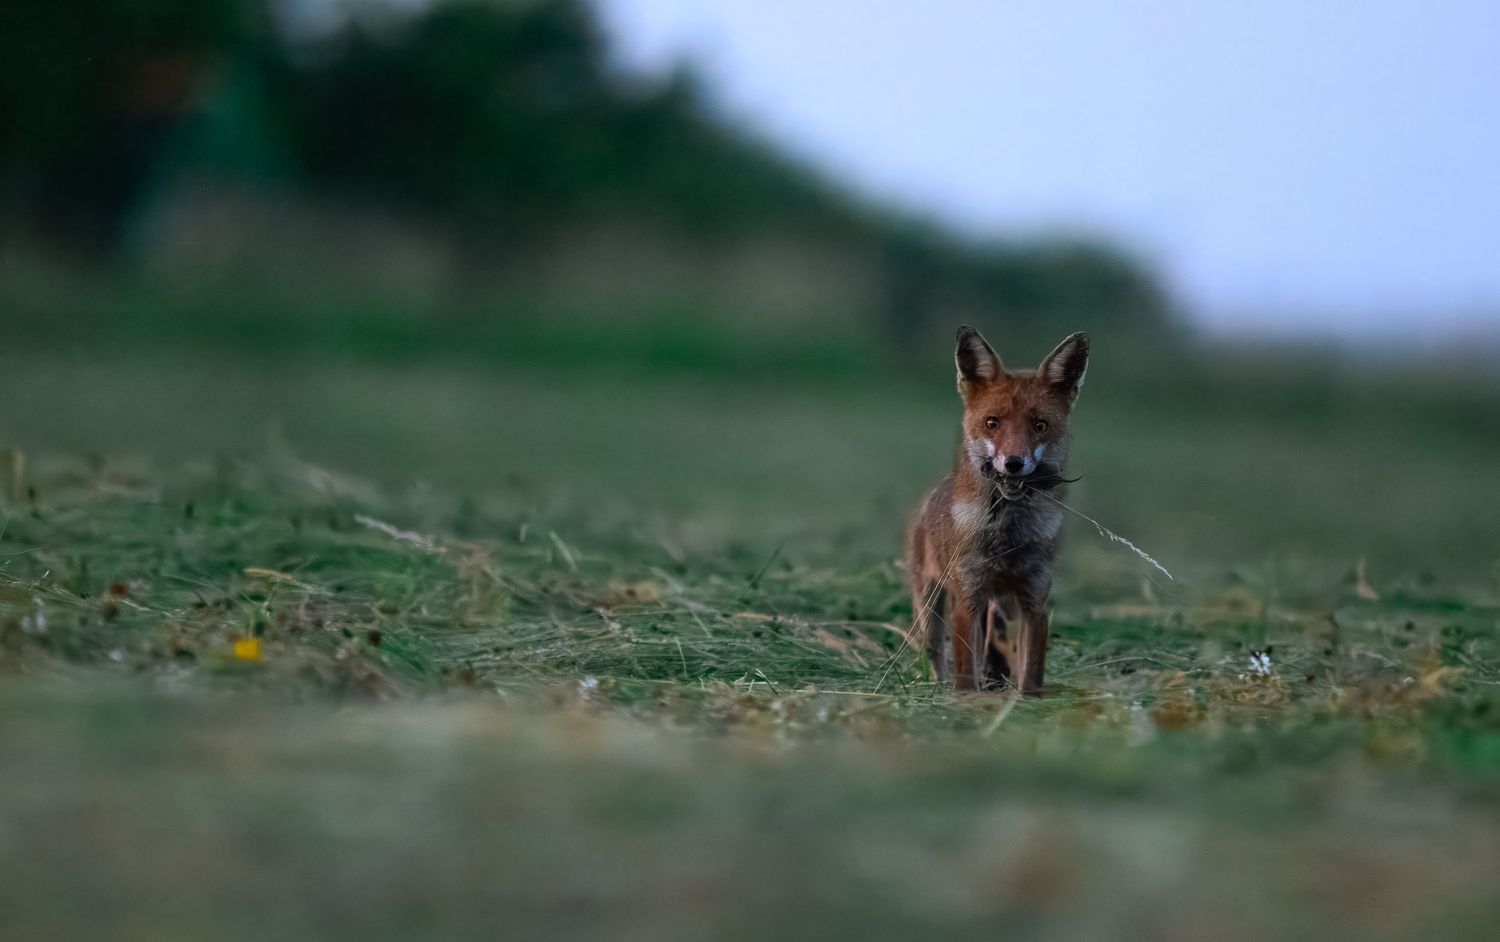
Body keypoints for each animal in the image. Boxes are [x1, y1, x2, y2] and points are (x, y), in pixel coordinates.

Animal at [906, 325, 1090, 695]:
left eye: (1039, 425)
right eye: (993, 423)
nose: (1014, 463)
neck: (1008, 536)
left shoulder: (1035, 600)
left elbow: (1031, 670)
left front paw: (1027, 699)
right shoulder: (968, 595)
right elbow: (965, 671)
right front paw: (964, 698)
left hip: (999, 605)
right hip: (931, 605)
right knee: (935, 651)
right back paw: (940, 684)